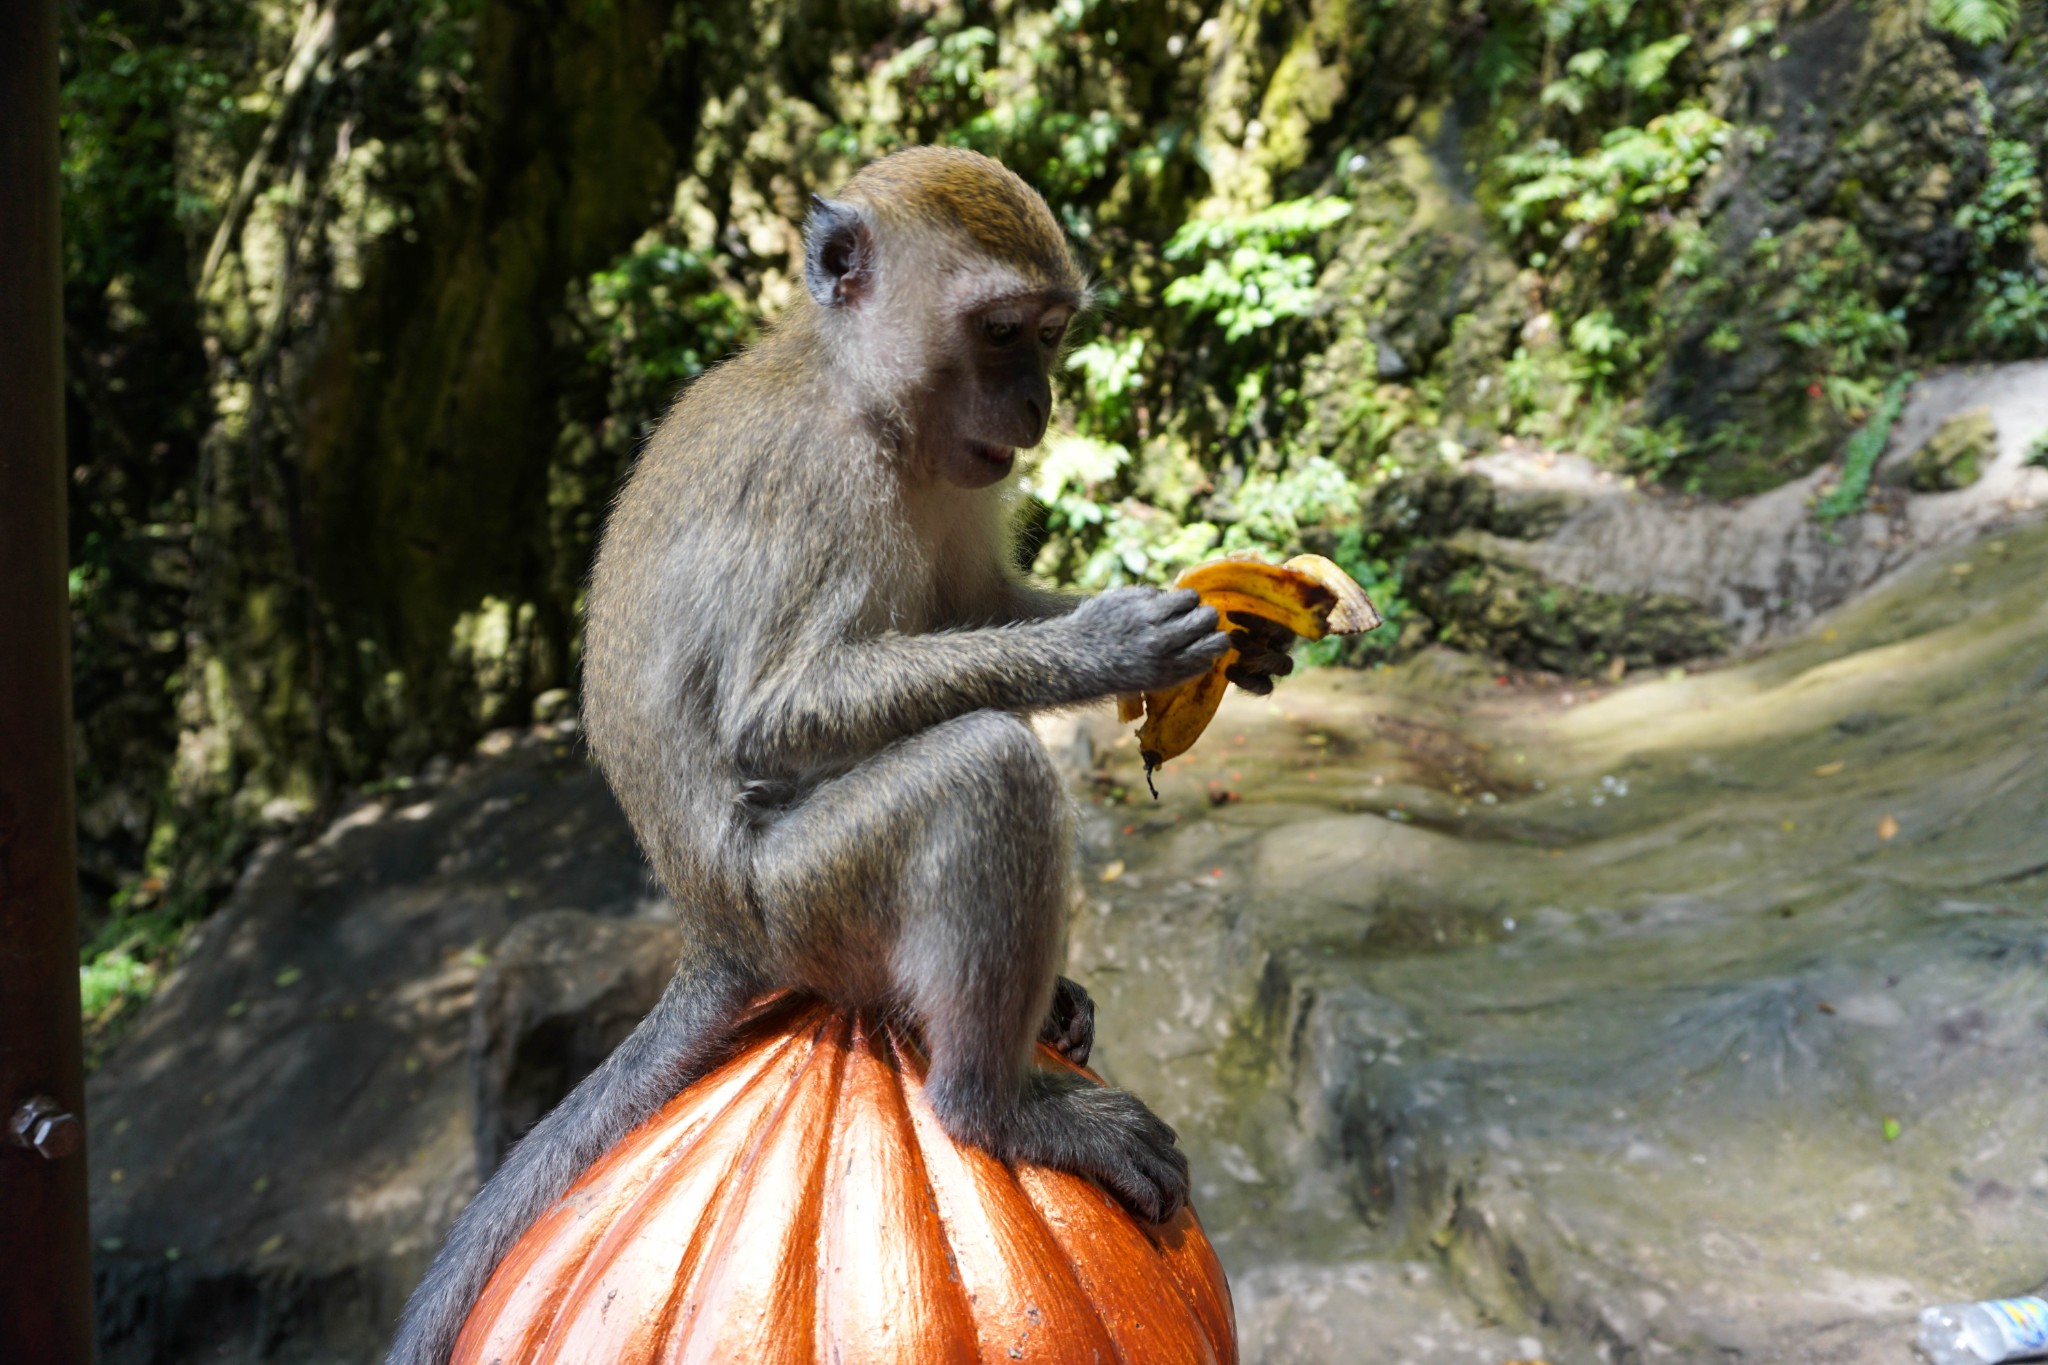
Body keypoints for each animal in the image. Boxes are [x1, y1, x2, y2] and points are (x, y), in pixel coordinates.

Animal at [380, 144, 1294, 1358]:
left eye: (1049, 334)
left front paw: (1244, 633)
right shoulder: (816, 484)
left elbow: (977, 607)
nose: (1039, 402)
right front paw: (1109, 645)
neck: (868, 406)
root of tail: (714, 929)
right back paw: (994, 1105)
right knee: (985, 771)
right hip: (807, 900)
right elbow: (773, 711)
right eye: (1002, 331)